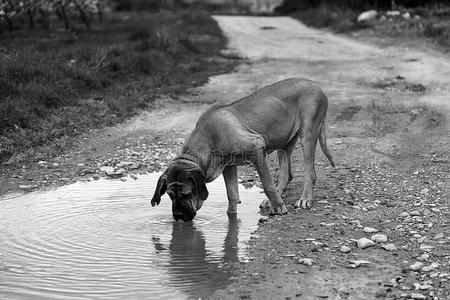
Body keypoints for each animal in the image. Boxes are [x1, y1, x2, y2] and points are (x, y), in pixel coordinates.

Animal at [151, 78, 334, 221]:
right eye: (170, 195)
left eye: (186, 194)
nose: (178, 217)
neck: (209, 138)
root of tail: (316, 86)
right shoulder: (228, 166)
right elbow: (232, 194)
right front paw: (231, 218)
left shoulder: (257, 148)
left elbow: (267, 184)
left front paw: (279, 208)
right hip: (284, 142)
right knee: (286, 174)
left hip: (308, 134)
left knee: (310, 172)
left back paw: (304, 199)